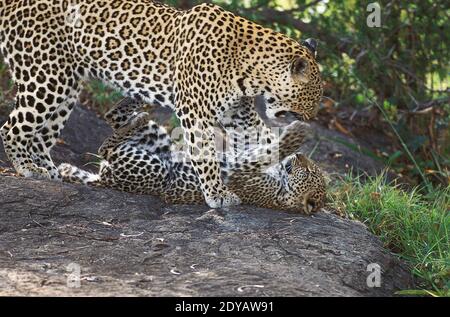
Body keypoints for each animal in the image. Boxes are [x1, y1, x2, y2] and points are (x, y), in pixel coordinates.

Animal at [0, 0, 324, 207]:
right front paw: (217, 194)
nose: (309, 118)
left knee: (43, 134)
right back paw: (27, 168)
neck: (252, 70)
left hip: (66, 83)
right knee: (12, 126)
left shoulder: (239, 113)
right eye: (311, 98)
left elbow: (263, 138)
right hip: (46, 76)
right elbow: (206, 155)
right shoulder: (196, 111)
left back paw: (49, 169)